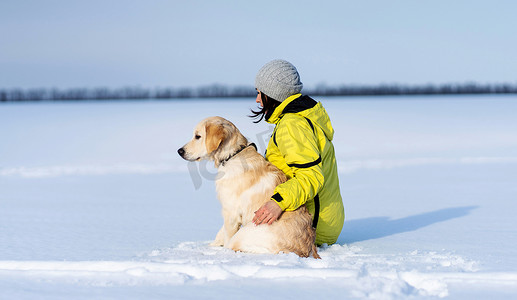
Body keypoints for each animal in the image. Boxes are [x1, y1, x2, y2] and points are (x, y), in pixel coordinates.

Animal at [176, 115, 318, 258]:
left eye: (198, 136)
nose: (179, 151)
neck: (232, 155)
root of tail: (303, 251)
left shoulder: (231, 212)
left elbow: (227, 235)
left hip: (246, 232)